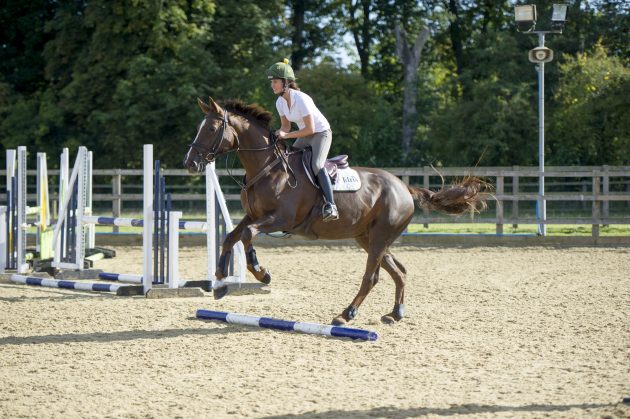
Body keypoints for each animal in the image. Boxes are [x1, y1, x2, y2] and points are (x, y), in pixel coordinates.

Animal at [183, 97, 488, 324]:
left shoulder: (279, 219)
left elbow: (247, 235)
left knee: (372, 276)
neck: (267, 167)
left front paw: (261, 272)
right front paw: (220, 282)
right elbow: (231, 236)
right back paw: (395, 314)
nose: (189, 163)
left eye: (210, 129)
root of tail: (405, 187)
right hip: (367, 237)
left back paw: (346, 314)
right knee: (398, 272)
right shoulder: (254, 216)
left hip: (379, 238)